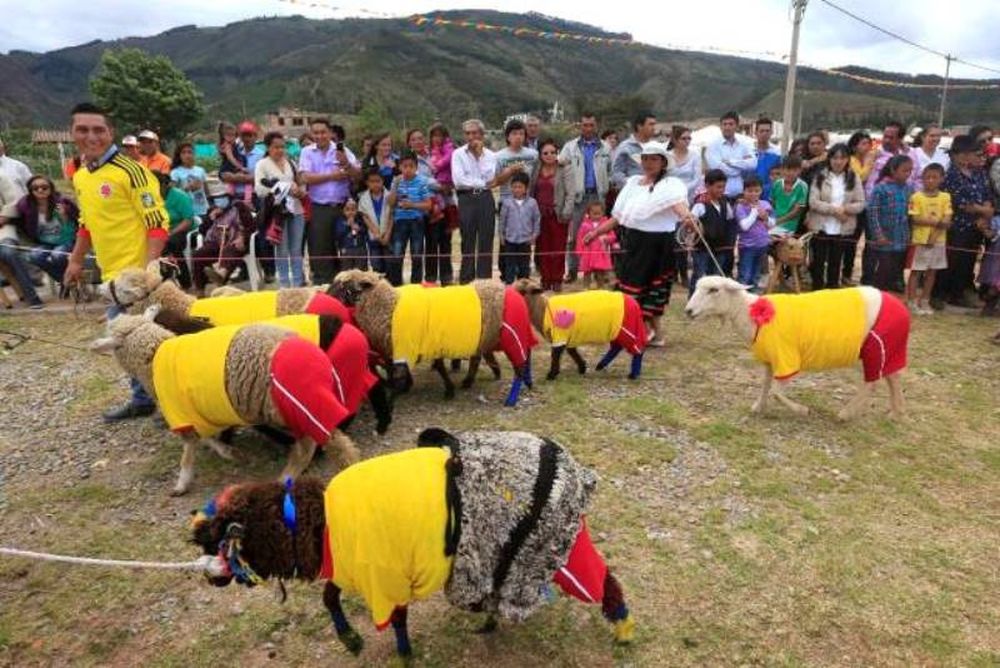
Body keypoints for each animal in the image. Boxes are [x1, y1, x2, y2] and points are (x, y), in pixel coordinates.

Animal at [191, 428, 636, 656]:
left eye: (223, 537)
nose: (209, 576)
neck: (323, 523)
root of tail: (573, 470)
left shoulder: (386, 575)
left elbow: (397, 620)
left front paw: (403, 656)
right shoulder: (355, 569)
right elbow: (331, 598)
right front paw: (351, 640)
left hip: (546, 548)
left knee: (603, 581)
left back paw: (623, 632)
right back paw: (491, 621)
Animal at [328, 268, 536, 404]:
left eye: (344, 285)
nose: (327, 296)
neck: (390, 306)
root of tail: (503, 286)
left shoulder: (422, 344)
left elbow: (437, 367)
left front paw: (448, 390)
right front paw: (406, 386)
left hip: (505, 335)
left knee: (516, 362)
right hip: (482, 336)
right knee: (478, 358)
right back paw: (478, 378)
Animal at [516, 276, 648, 380]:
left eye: (522, 292)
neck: (543, 310)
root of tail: (633, 302)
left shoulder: (560, 335)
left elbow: (556, 355)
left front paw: (551, 374)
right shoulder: (567, 336)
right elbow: (572, 351)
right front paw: (582, 367)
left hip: (627, 329)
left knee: (637, 349)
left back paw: (633, 374)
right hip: (616, 330)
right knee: (616, 347)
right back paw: (601, 365)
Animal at [684, 276, 912, 418]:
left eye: (714, 290)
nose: (688, 311)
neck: (750, 314)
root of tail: (902, 308)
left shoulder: (787, 358)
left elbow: (777, 392)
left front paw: (802, 410)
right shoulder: (770, 360)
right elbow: (765, 385)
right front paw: (758, 407)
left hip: (873, 348)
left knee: (872, 383)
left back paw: (846, 414)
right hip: (886, 349)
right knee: (892, 378)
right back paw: (896, 412)